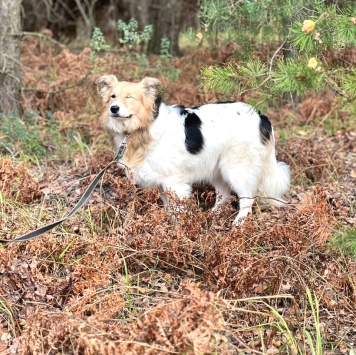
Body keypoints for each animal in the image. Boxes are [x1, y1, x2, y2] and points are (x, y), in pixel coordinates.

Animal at [96, 75, 290, 227]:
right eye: (112, 96)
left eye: (129, 97)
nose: (113, 108)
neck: (142, 127)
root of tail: (260, 116)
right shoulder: (162, 184)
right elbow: (169, 208)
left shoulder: (174, 182)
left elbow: (177, 211)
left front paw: (178, 231)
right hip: (216, 168)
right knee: (224, 195)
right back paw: (212, 215)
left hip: (237, 168)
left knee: (247, 200)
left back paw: (238, 224)